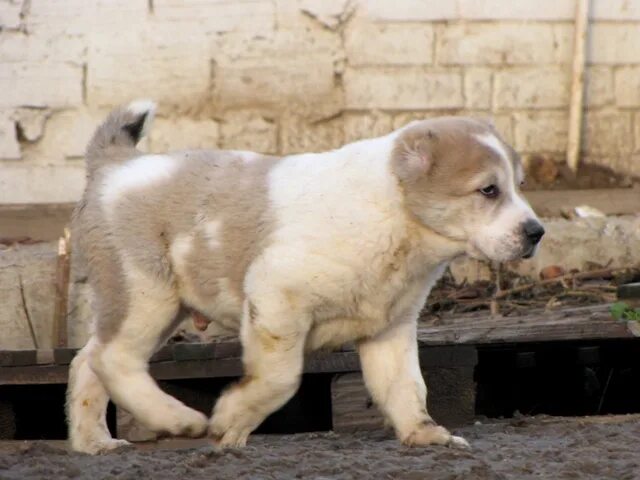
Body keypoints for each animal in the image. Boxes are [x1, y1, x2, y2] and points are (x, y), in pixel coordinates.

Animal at [67, 100, 544, 454]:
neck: (394, 214)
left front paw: (424, 434)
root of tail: (114, 165)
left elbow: (406, 385)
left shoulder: (390, 327)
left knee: (88, 359)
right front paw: (229, 421)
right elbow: (280, 378)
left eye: (519, 186)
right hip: (146, 291)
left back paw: (94, 442)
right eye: (488, 190)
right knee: (113, 358)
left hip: (152, 304)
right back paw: (178, 420)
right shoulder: (276, 297)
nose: (537, 232)